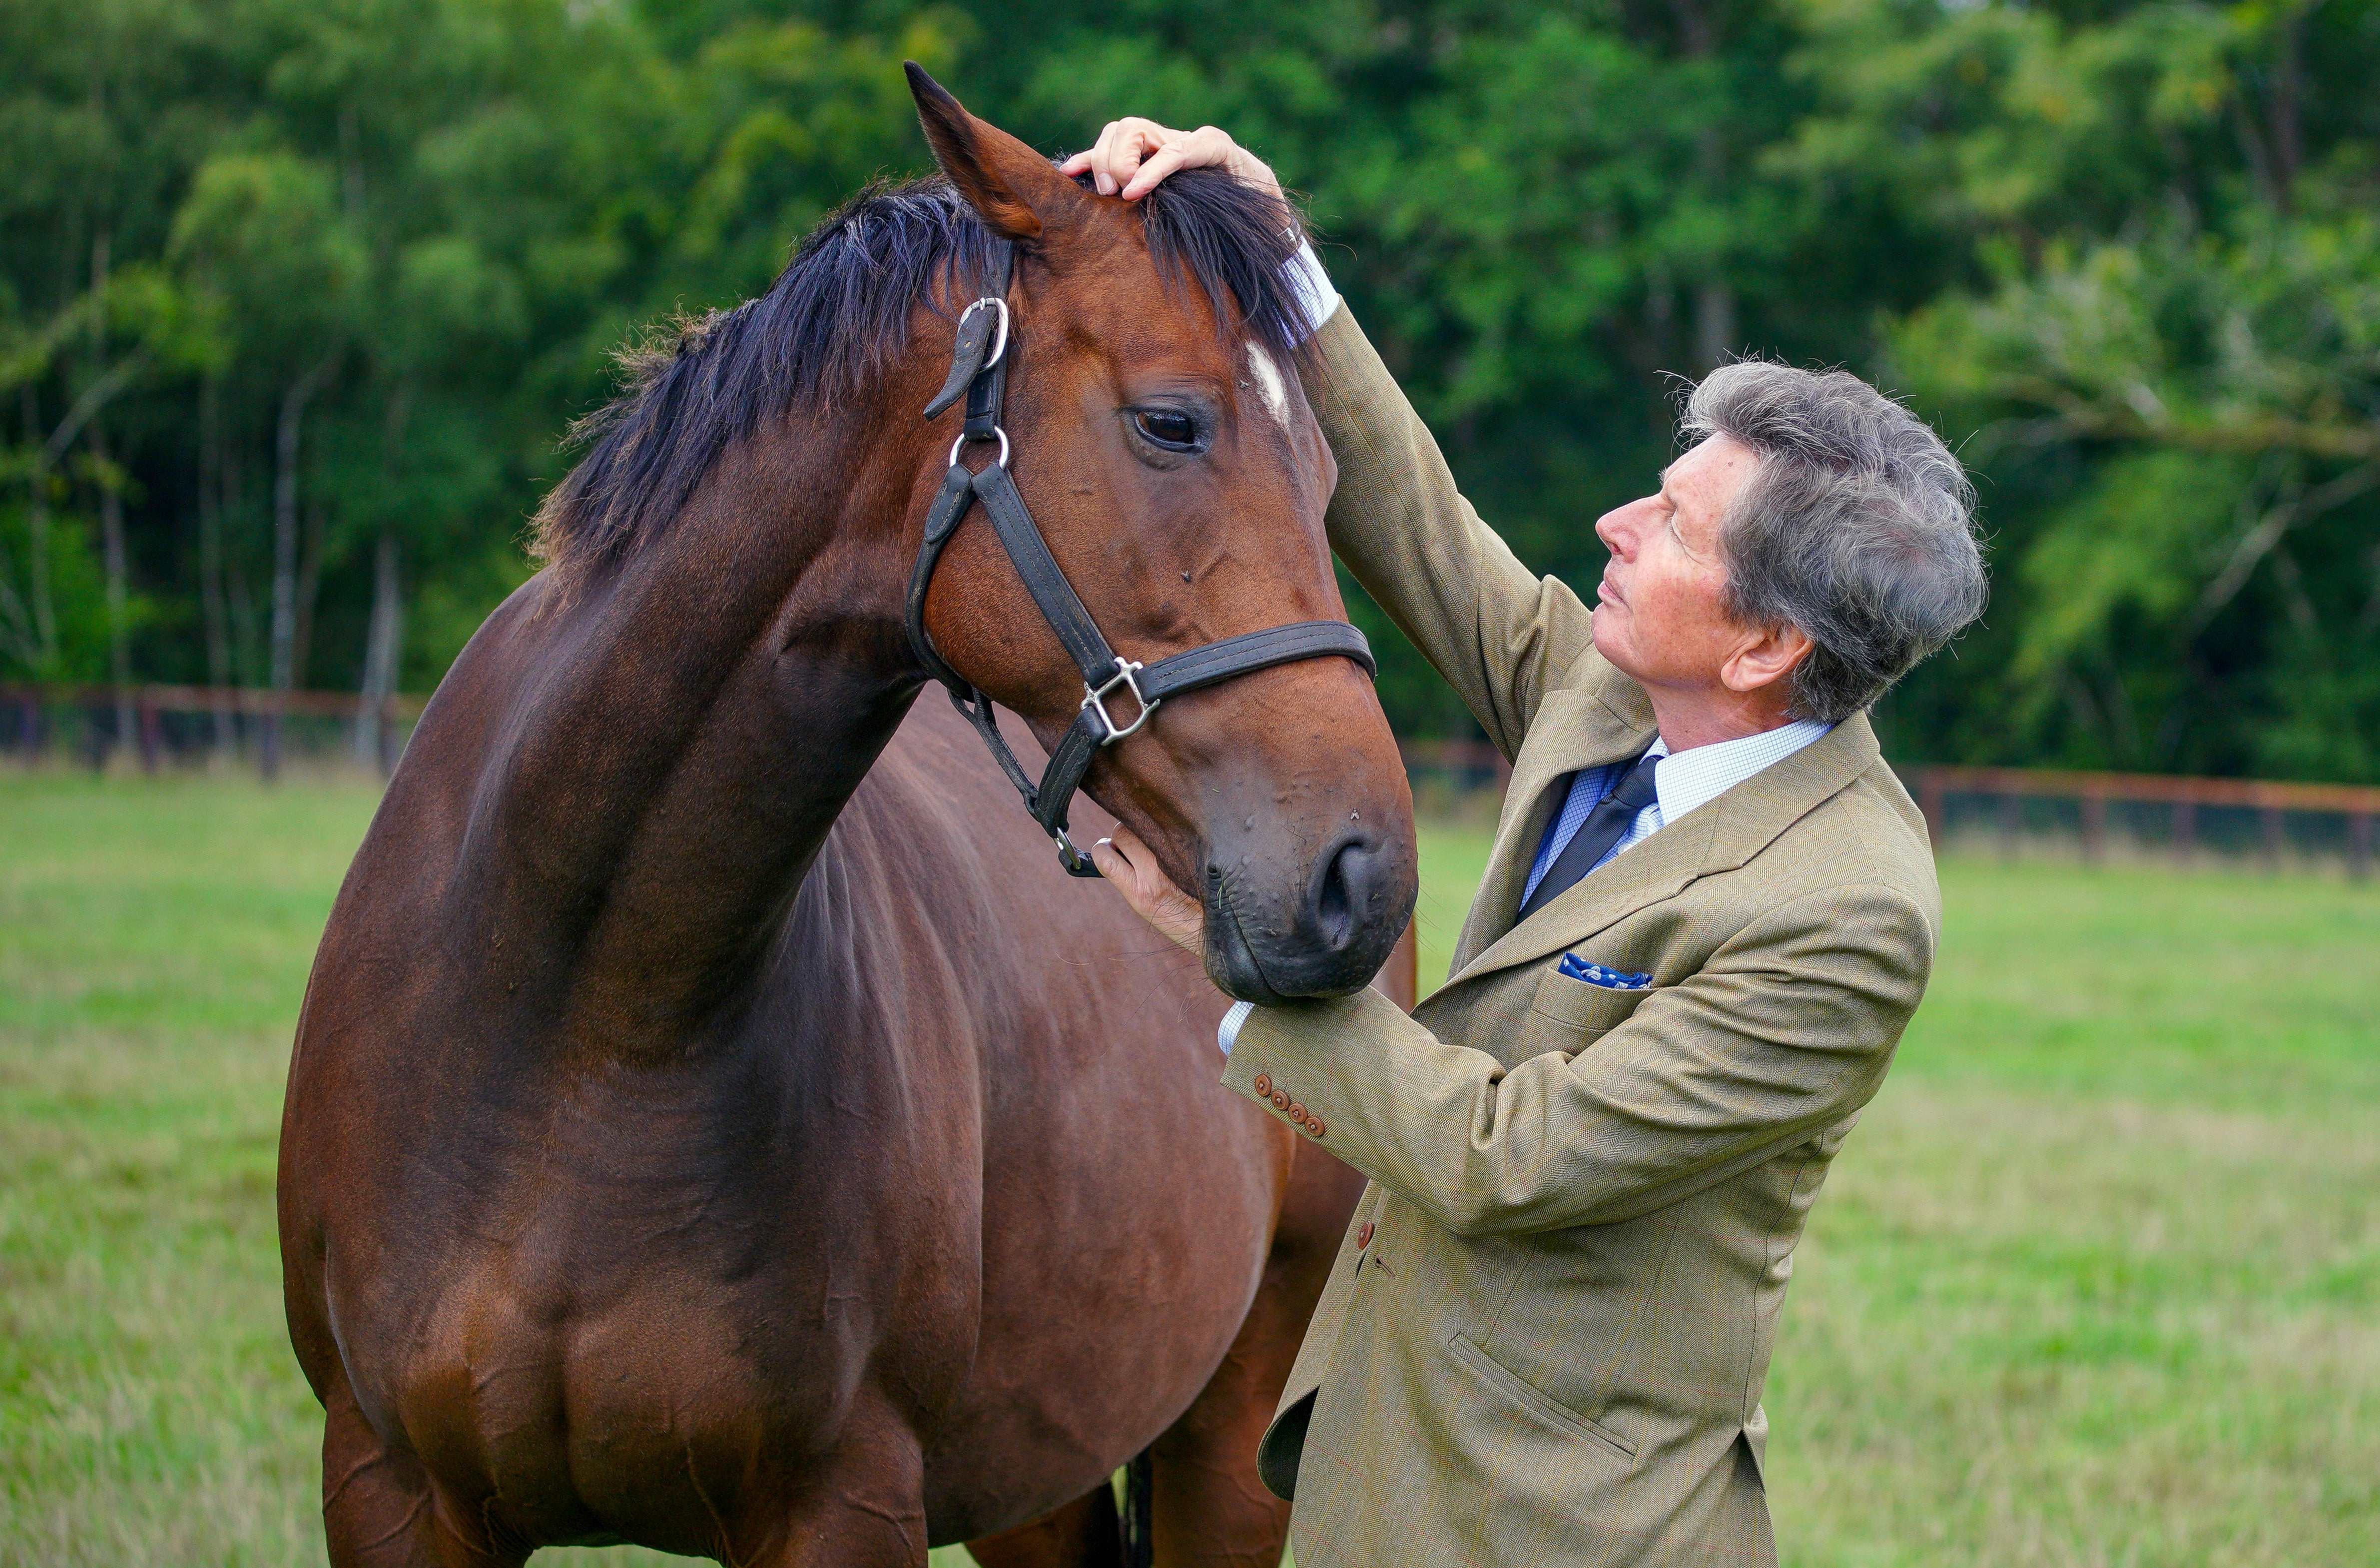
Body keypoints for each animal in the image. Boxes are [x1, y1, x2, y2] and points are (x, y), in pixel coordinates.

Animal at [278, 67, 1409, 1561]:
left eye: (1333, 478)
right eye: (1171, 421)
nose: (1362, 876)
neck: (584, 1020)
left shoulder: (842, 1504)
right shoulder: (391, 1485)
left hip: (1228, 1446)